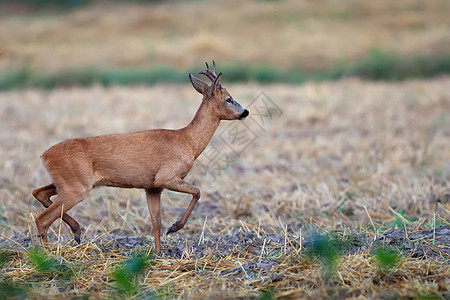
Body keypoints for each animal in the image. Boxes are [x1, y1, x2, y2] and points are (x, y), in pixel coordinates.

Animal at [31, 61, 250, 255]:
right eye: (228, 98)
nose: (245, 112)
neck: (187, 141)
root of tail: (45, 155)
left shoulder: (152, 187)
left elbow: (156, 221)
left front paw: (158, 253)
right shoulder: (166, 176)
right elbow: (197, 192)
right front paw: (175, 227)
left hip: (68, 183)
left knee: (39, 193)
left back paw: (75, 231)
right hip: (76, 187)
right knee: (42, 219)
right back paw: (49, 255)